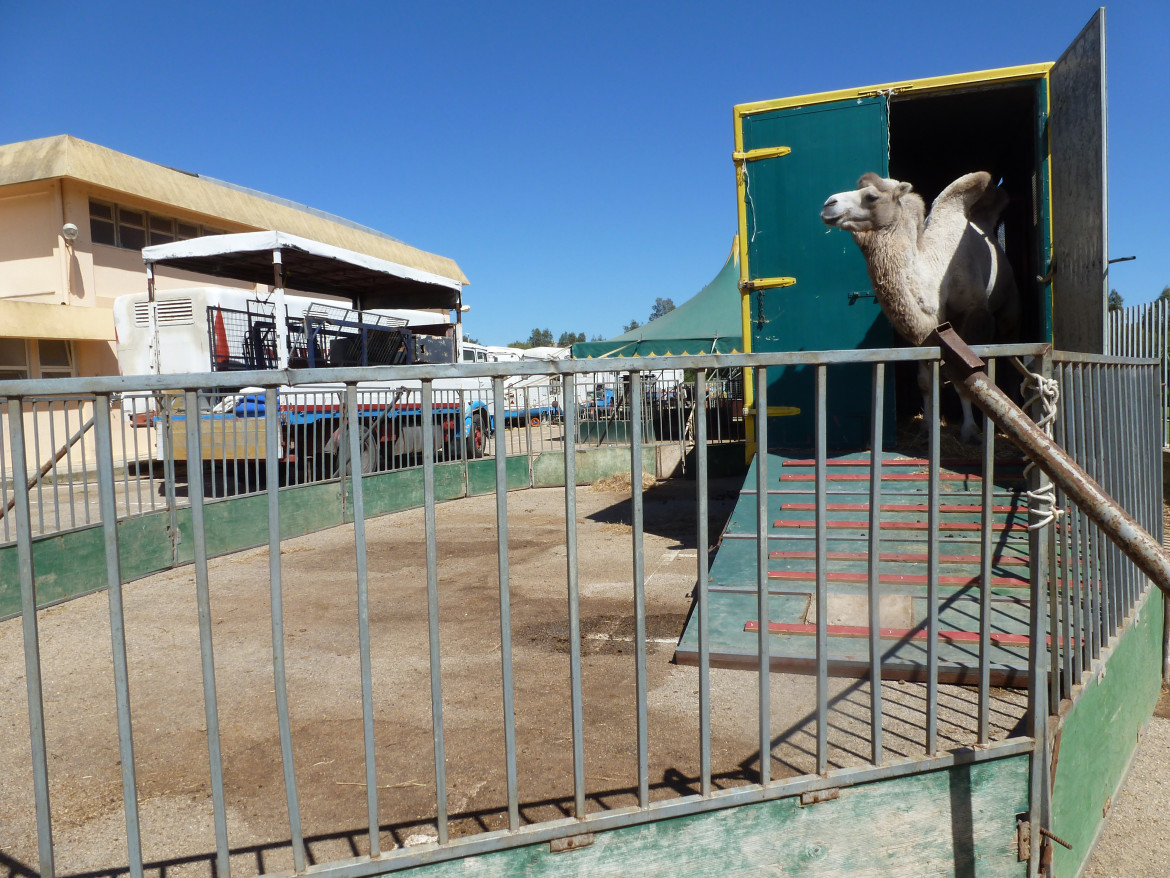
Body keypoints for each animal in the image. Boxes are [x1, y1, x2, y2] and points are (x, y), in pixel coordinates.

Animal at [819, 170, 1020, 442]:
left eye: (872, 196)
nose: (828, 204)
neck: (936, 278)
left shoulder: (973, 315)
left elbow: (967, 377)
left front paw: (969, 430)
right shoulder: (924, 333)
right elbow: (925, 380)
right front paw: (926, 427)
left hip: (1009, 305)